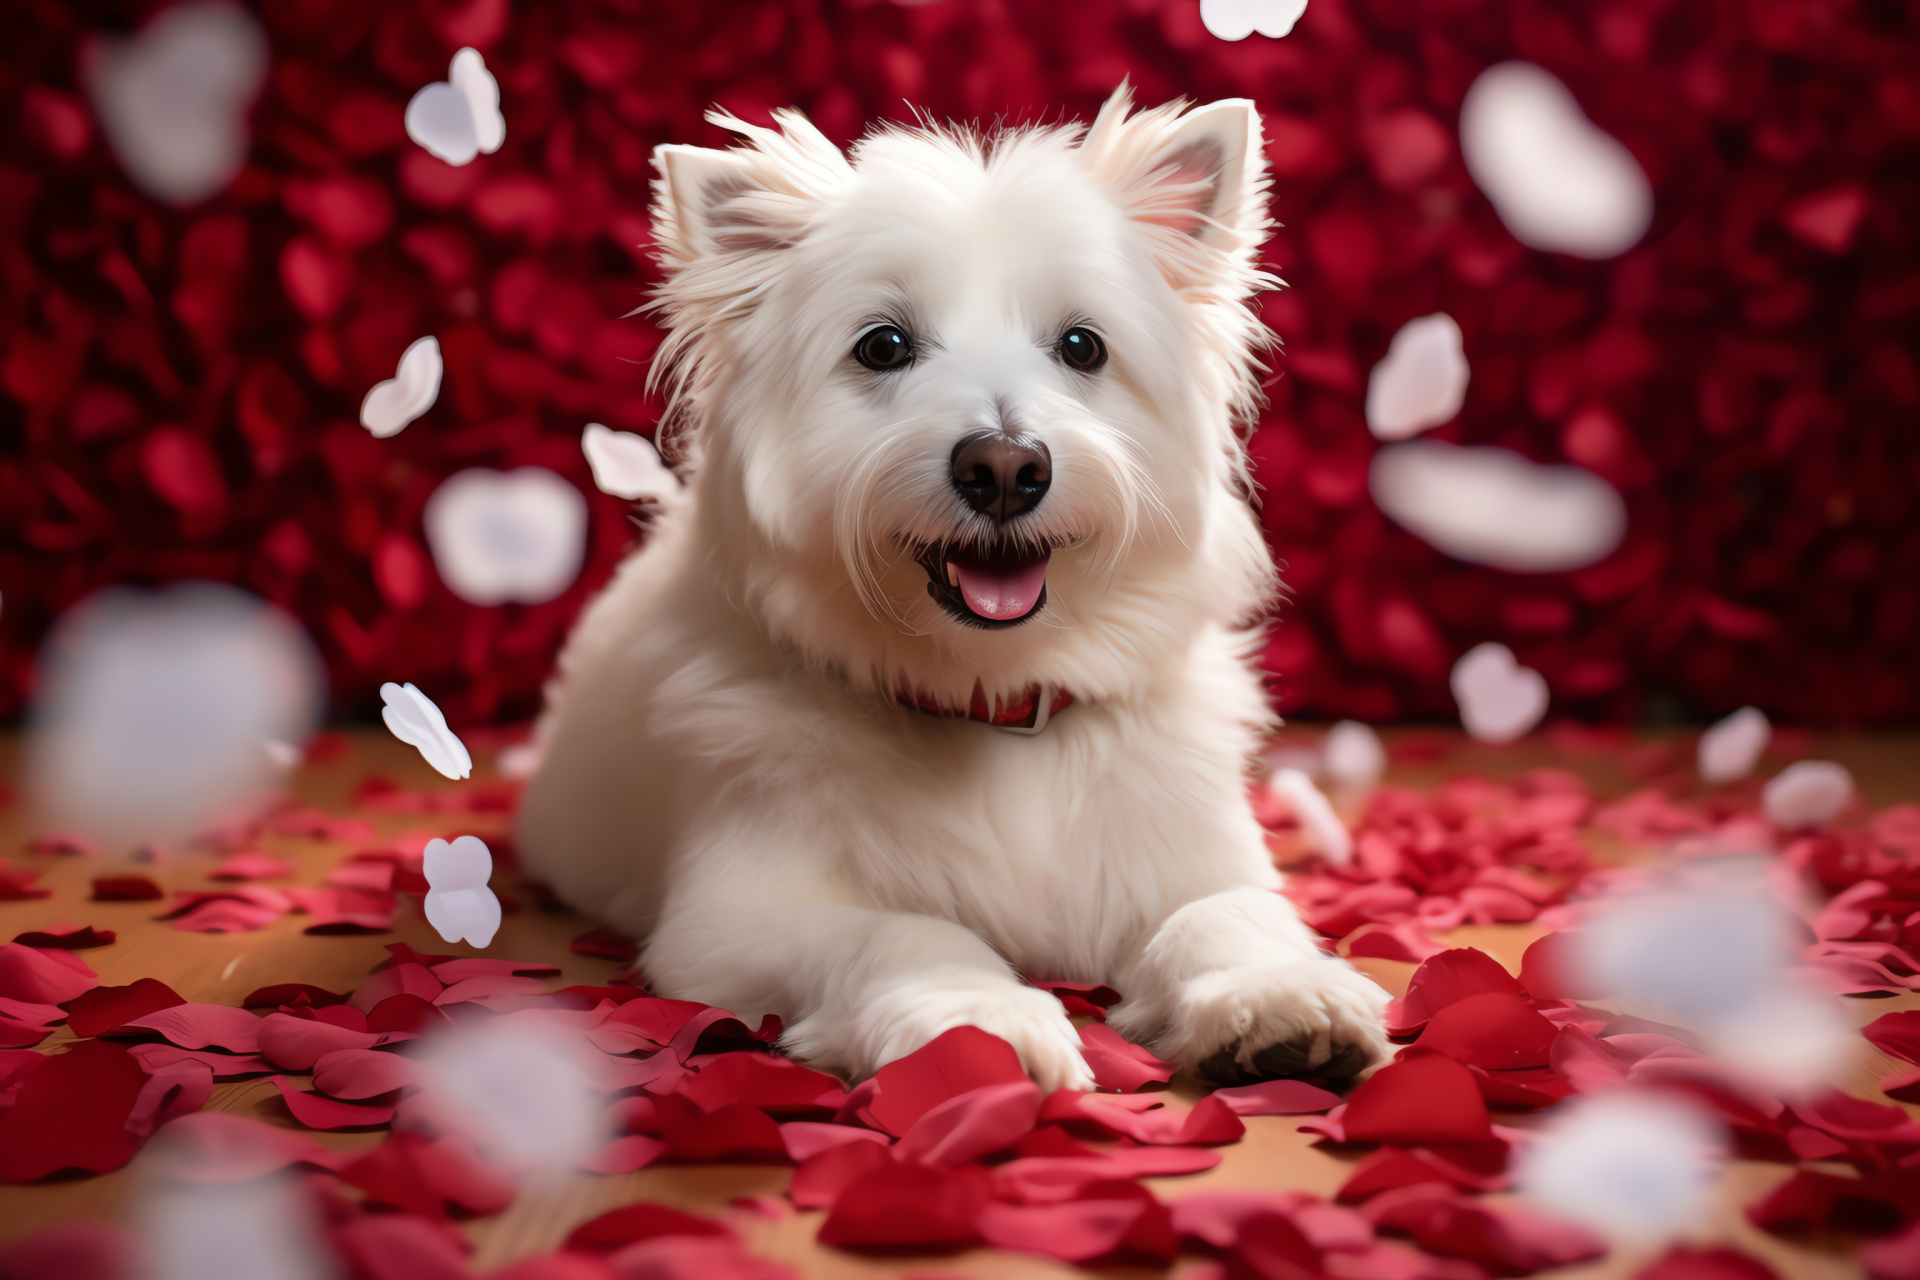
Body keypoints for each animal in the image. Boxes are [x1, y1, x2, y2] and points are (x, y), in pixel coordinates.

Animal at [518, 87, 1390, 1090]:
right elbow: (906, 935)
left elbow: (1224, 914)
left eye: (1082, 346)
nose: (1006, 468)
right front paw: (978, 1018)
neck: (991, 698)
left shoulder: (1200, 861)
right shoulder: (733, 920)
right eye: (883, 346)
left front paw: (1282, 996)